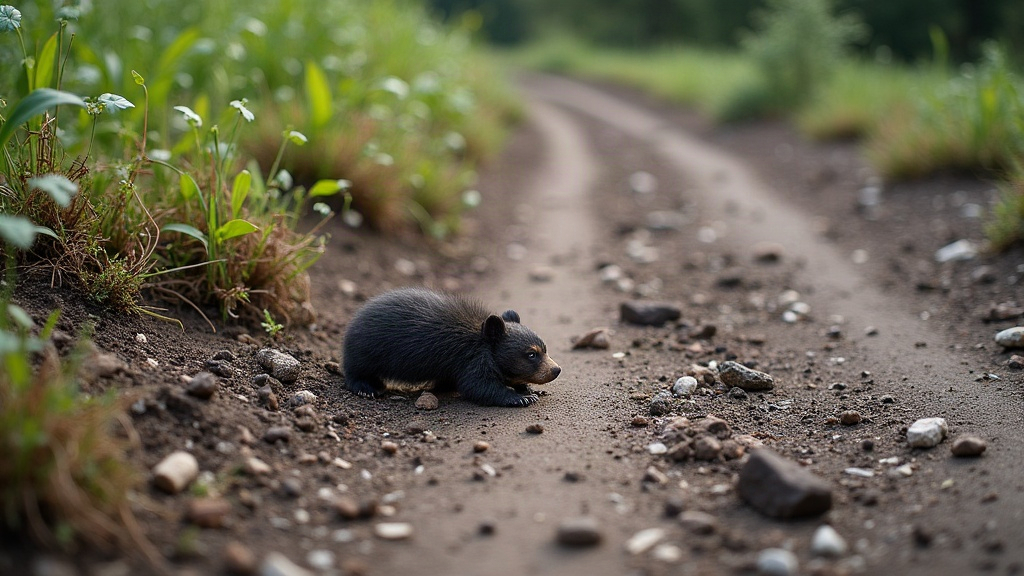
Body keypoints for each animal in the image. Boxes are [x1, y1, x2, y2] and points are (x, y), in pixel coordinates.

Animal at [342, 287, 560, 407]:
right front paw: (519, 397)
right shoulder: (471, 361)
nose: (556, 370)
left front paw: (528, 389)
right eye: (531, 354)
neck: (483, 341)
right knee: (355, 370)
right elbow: (479, 386)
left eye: (545, 349)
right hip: (366, 351)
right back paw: (366, 387)